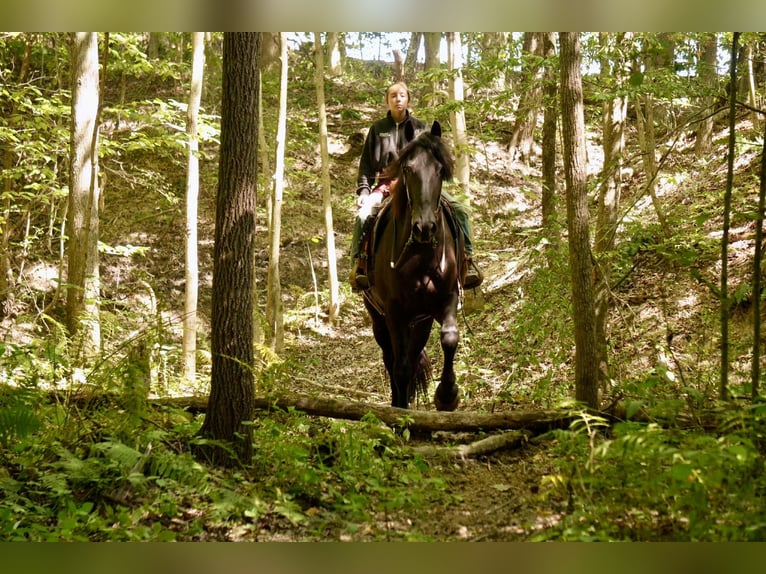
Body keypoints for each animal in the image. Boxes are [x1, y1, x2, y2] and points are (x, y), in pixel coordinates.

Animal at [362, 120, 465, 411]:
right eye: (408, 169)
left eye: (440, 170)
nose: (425, 228)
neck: (420, 254)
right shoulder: (394, 311)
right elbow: (401, 368)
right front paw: (400, 413)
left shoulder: (447, 297)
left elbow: (450, 337)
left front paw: (447, 395)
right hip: (378, 316)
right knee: (392, 358)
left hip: (421, 320)